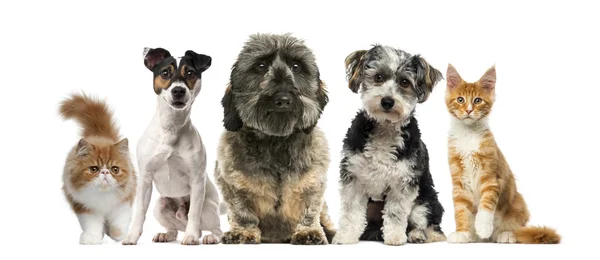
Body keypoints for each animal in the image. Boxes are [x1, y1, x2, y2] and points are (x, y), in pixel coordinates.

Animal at [59, 93, 137, 244]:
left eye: (115, 169)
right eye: (94, 169)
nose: (105, 172)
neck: (103, 197)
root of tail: (99, 135)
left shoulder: (123, 201)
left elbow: (119, 222)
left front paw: (118, 235)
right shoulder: (84, 206)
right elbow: (92, 224)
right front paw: (92, 238)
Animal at [122, 47, 223, 246]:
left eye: (190, 73)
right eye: (165, 73)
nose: (178, 90)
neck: (172, 127)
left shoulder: (197, 180)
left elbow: (193, 214)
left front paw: (191, 237)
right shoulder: (145, 179)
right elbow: (139, 213)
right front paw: (131, 236)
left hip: (208, 207)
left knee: (215, 228)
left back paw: (208, 236)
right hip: (160, 205)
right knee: (174, 230)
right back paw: (165, 234)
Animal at [213, 33, 336, 245]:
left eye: (296, 66)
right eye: (261, 66)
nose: (283, 99)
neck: (276, 142)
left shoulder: (314, 183)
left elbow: (310, 209)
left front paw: (308, 231)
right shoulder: (230, 183)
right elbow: (242, 211)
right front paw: (244, 232)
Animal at [332, 45, 446, 246]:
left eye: (405, 82)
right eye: (378, 77)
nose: (387, 101)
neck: (385, 130)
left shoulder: (404, 181)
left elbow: (395, 213)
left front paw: (394, 237)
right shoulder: (354, 175)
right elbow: (351, 213)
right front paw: (345, 236)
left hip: (425, 204)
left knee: (428, 226)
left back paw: (416, 235)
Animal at [442, 65, 560, 244]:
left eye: (477, 101)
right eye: (460, 100)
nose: (469, 110)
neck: (468, 134)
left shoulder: (491, 177)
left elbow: (486, 205)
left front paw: (483, 227)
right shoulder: (459, 182)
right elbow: (461, 211)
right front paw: (462, 233)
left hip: (518, 203)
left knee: (516, 228)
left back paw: (505, 234)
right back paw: (474, 236)